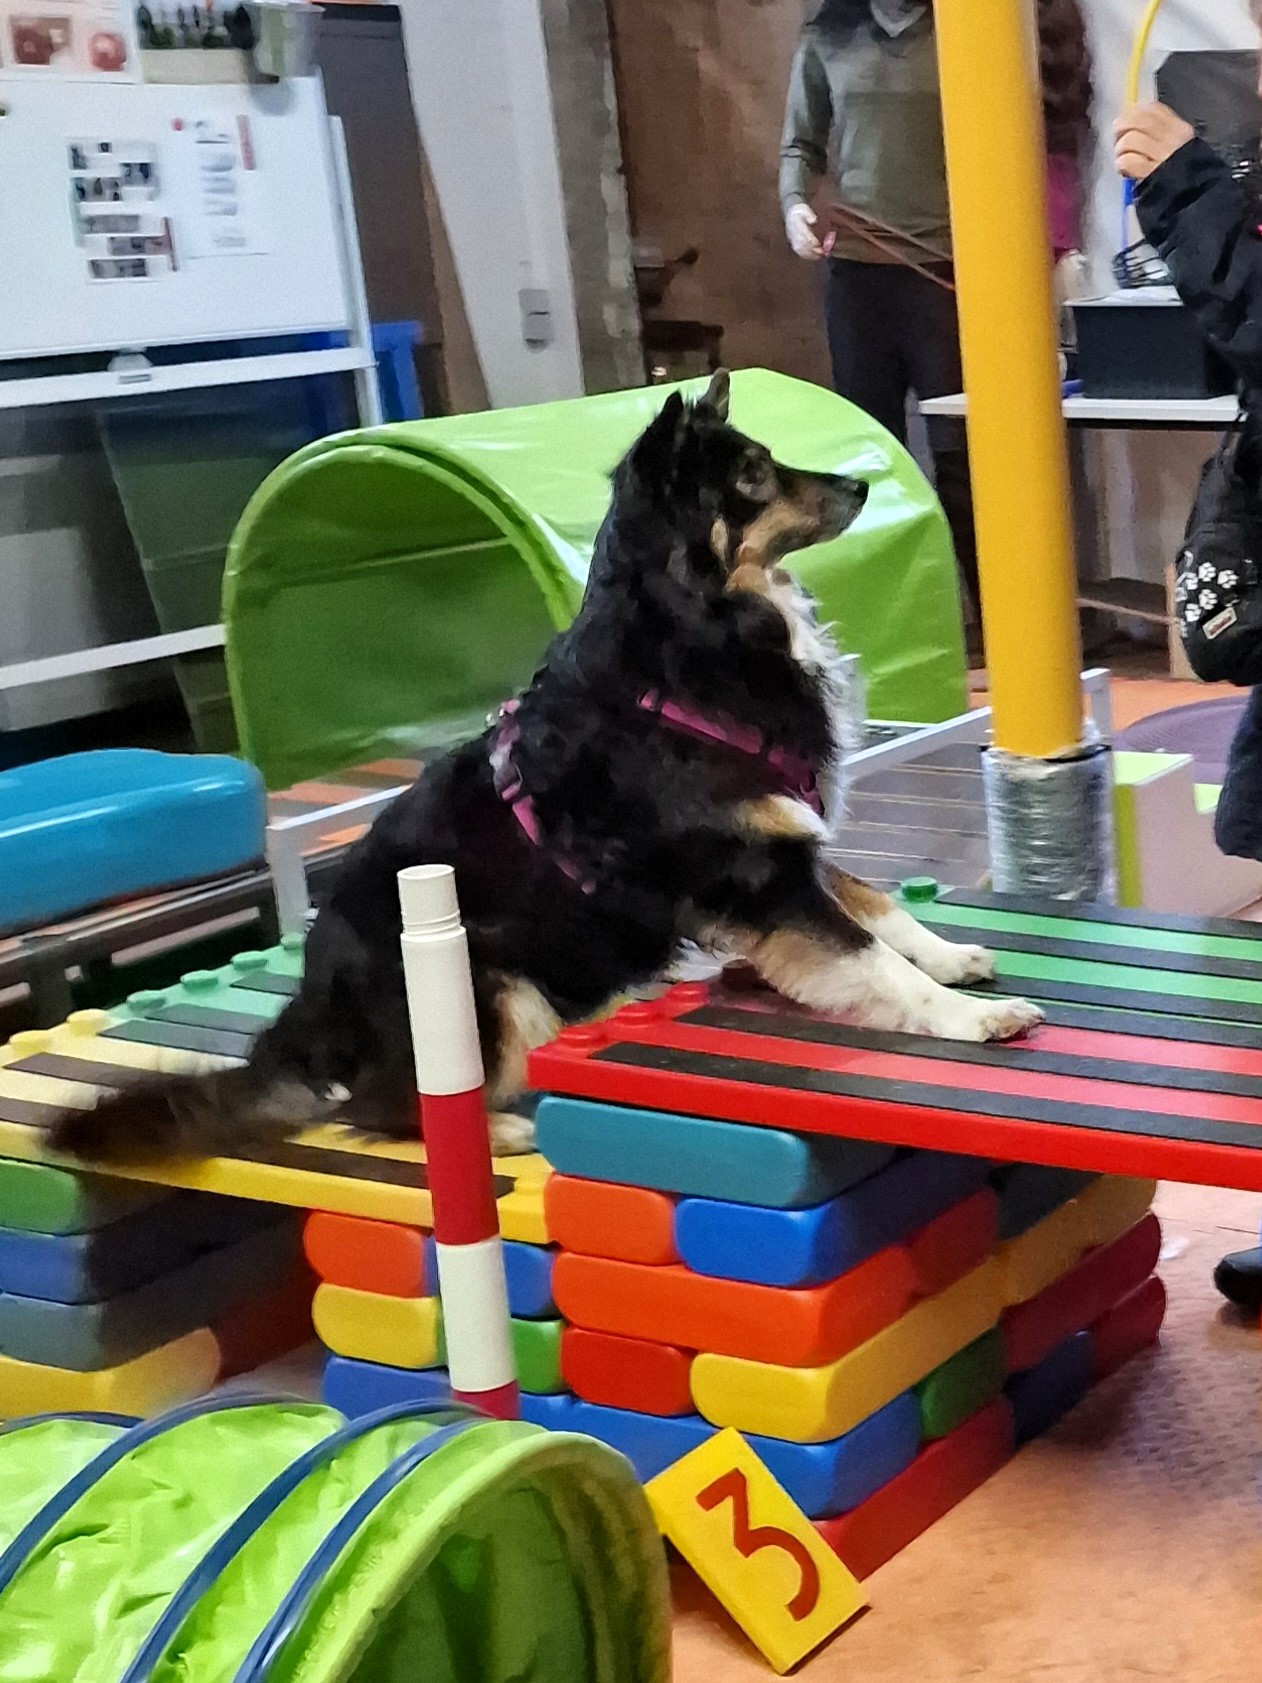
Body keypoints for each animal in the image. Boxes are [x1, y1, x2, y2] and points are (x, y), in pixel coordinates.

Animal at [51, 372, 1041, 1166]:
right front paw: (968, 1018)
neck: (694, 634)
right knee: (382, 1108)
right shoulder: (756, 873)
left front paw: (951, 956)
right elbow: (866, 956)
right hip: (487, 984)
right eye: (756, 476)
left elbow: (875, 904)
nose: (861, 480)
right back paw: (505, 1127)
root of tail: (306, 1012)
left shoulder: (783, 840)